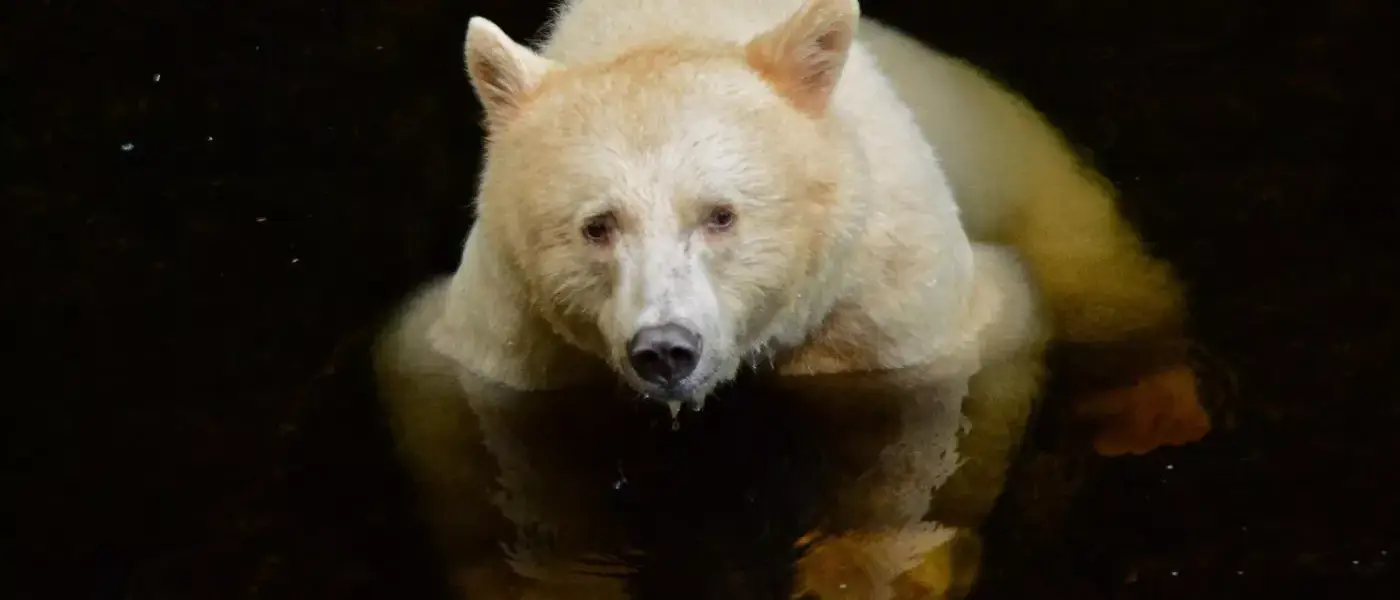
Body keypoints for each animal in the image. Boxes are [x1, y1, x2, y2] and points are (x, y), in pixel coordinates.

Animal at [374, 0, 1209, 597]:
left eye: (720, 214)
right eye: (597, 225)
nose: (665, 350)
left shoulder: (885, 286)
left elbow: (942, 402)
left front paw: (872, 570)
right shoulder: (516, 331)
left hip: (1006, 145)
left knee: (1087, 257)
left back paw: (1152, 407)